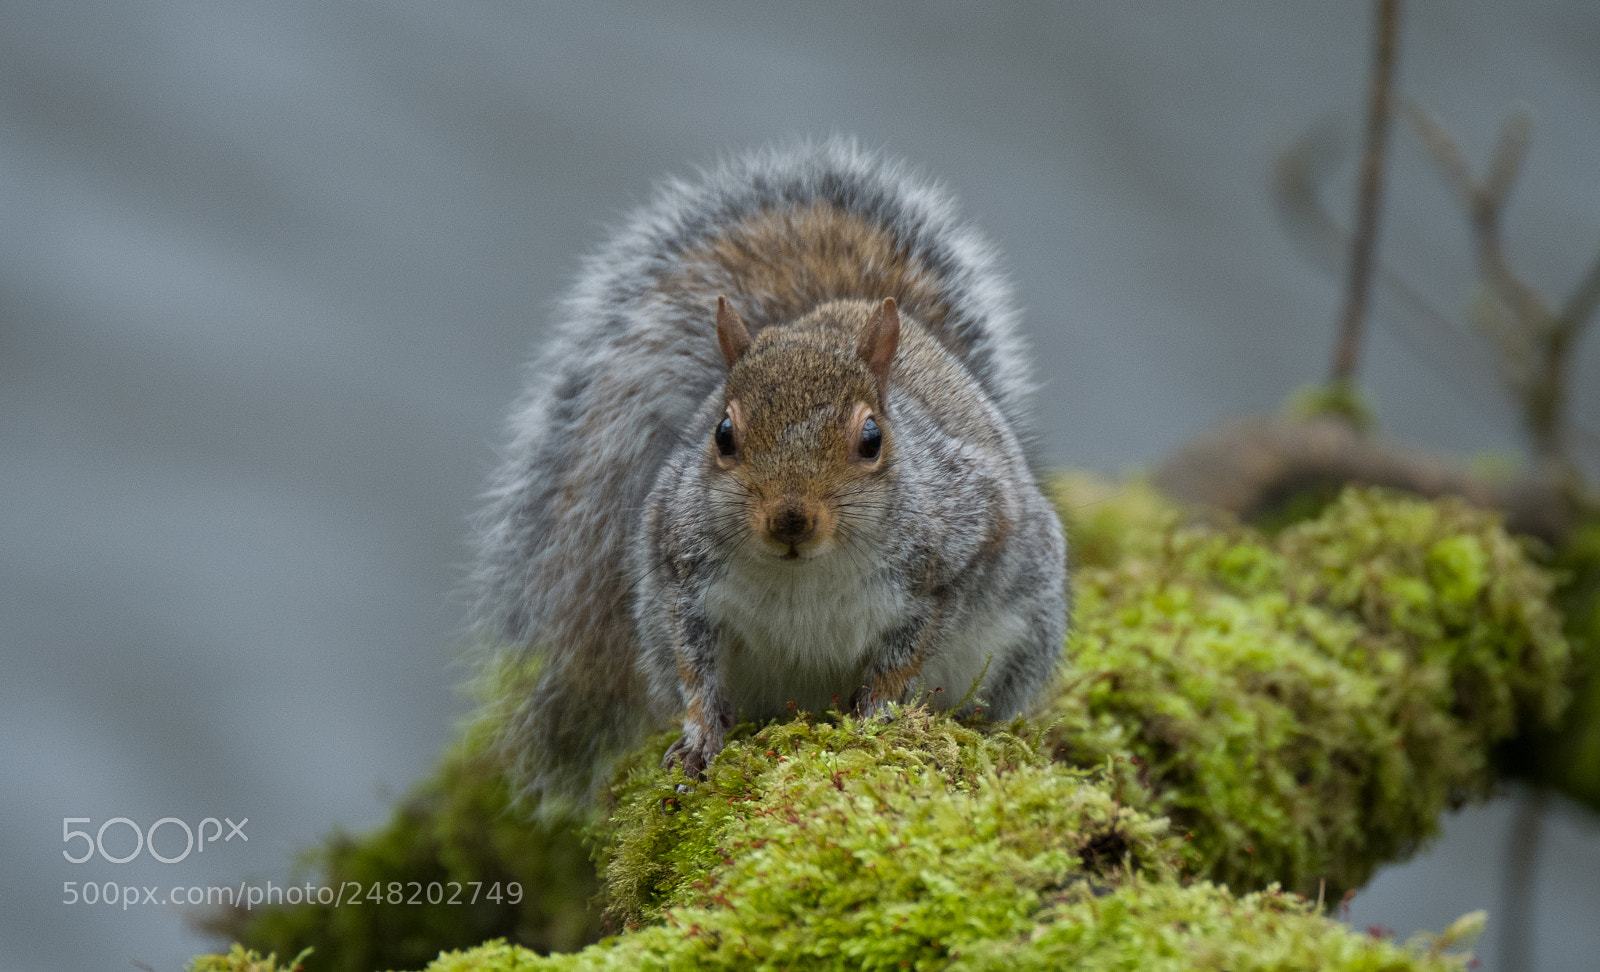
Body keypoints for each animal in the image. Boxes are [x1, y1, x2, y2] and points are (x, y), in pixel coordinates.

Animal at [472, 138, 1068, 802]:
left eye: (872, 439)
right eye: (722, 434)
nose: (790, 519)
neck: (802, 575)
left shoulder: (957, 550)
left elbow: (904, 658)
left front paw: (873, 721)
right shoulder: (681, 575)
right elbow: (696, 672)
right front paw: (699, 740)